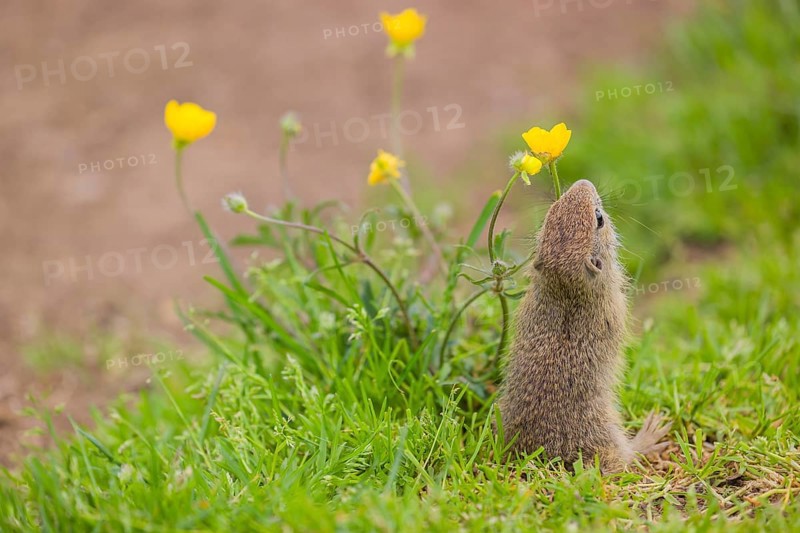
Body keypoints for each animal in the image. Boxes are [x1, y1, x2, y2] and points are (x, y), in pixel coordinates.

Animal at [498, 179, 670, 472]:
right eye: (598, 218)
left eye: (551, 211)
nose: (584, 183)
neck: (565, 288)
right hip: (607, 436)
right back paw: (650, 435)